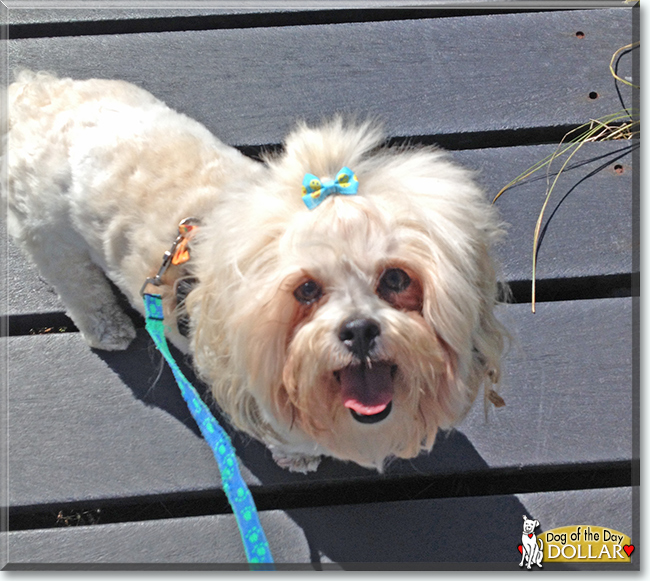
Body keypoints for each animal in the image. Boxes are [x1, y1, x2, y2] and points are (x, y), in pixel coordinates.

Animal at [3, 71, 506, 472]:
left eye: (396, 279)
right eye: (306, 290)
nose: (360, 330)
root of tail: (37, 94)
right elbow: (287, 432)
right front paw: (300, 456)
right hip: (47, 235)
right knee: (76, 284)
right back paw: (107, 327)